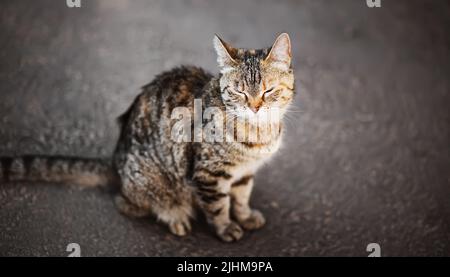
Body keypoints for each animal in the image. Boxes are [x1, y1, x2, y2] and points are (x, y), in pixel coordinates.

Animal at [0, 33, 296, 242]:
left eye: (268, 90)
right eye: (239, 92)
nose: (254, 106)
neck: (259, 132)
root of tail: (115, 161)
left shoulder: (245, 172)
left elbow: (242, 195)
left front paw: (245, 216)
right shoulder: (208, 174)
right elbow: (218, 206)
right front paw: (225, 228)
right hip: (149, 181)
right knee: (126, 202)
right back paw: (174, 216)